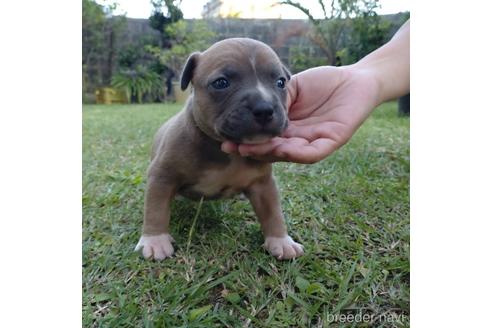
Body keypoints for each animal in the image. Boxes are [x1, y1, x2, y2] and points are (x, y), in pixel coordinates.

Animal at [135, 37, 304, 258]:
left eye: (280, 82)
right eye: (221, 83)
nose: (265, 108)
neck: (223, 149)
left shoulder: (263, 184)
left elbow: (273, 211)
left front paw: (281, 240)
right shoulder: (162, 176)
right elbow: (155, 209)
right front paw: (155, 240)